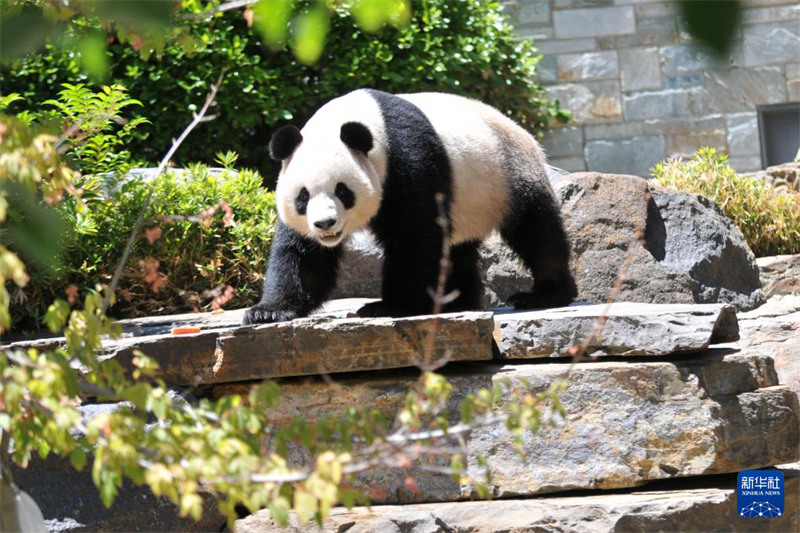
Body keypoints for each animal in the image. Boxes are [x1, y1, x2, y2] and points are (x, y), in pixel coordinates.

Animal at [243, 89, 577, 324]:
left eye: (342, 191)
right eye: (303, 196)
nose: (325, 224)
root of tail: (524, 132)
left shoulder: (408, 161)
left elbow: (413, 238)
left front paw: (390, 306)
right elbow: (303, 254)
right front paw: (269, 311)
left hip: (508, 174)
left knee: (536, 230)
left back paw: (545, 293)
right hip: (471, 202)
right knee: (457, 249)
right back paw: (457, 301)